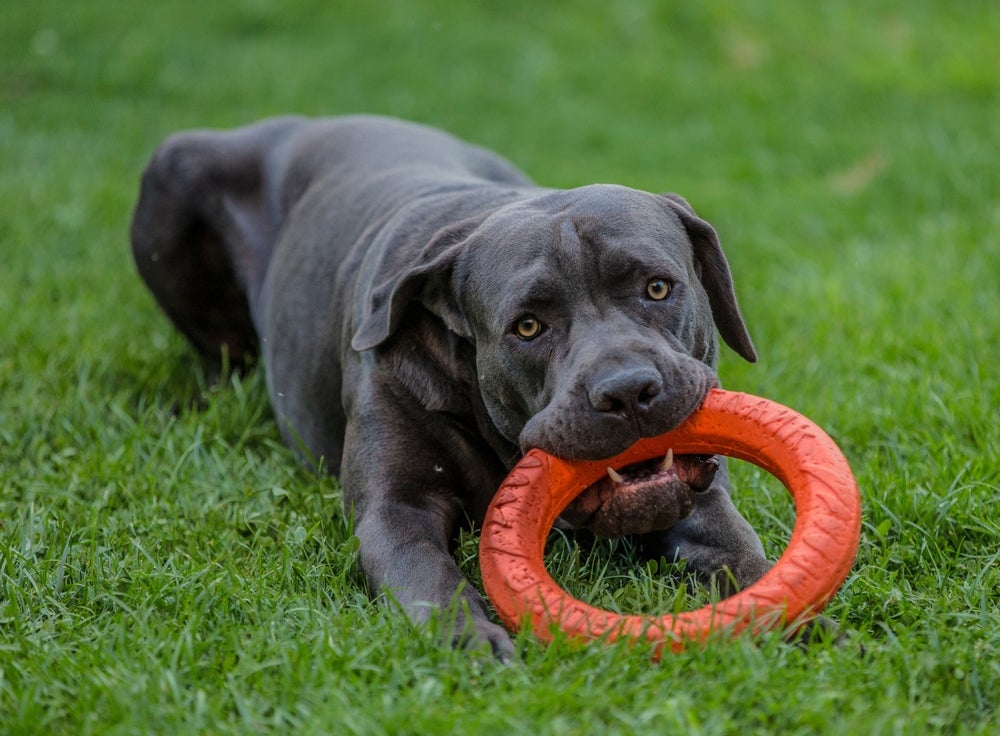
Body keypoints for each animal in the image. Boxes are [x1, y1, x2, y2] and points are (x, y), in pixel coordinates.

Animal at [129, 116, 768, 660]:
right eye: (528, 326)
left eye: (657, 287)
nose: (628, 391)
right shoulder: (396, 510)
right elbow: (431, 583)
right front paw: (471, 642)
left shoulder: (699, 498)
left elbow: (737, 551)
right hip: (171, 178)